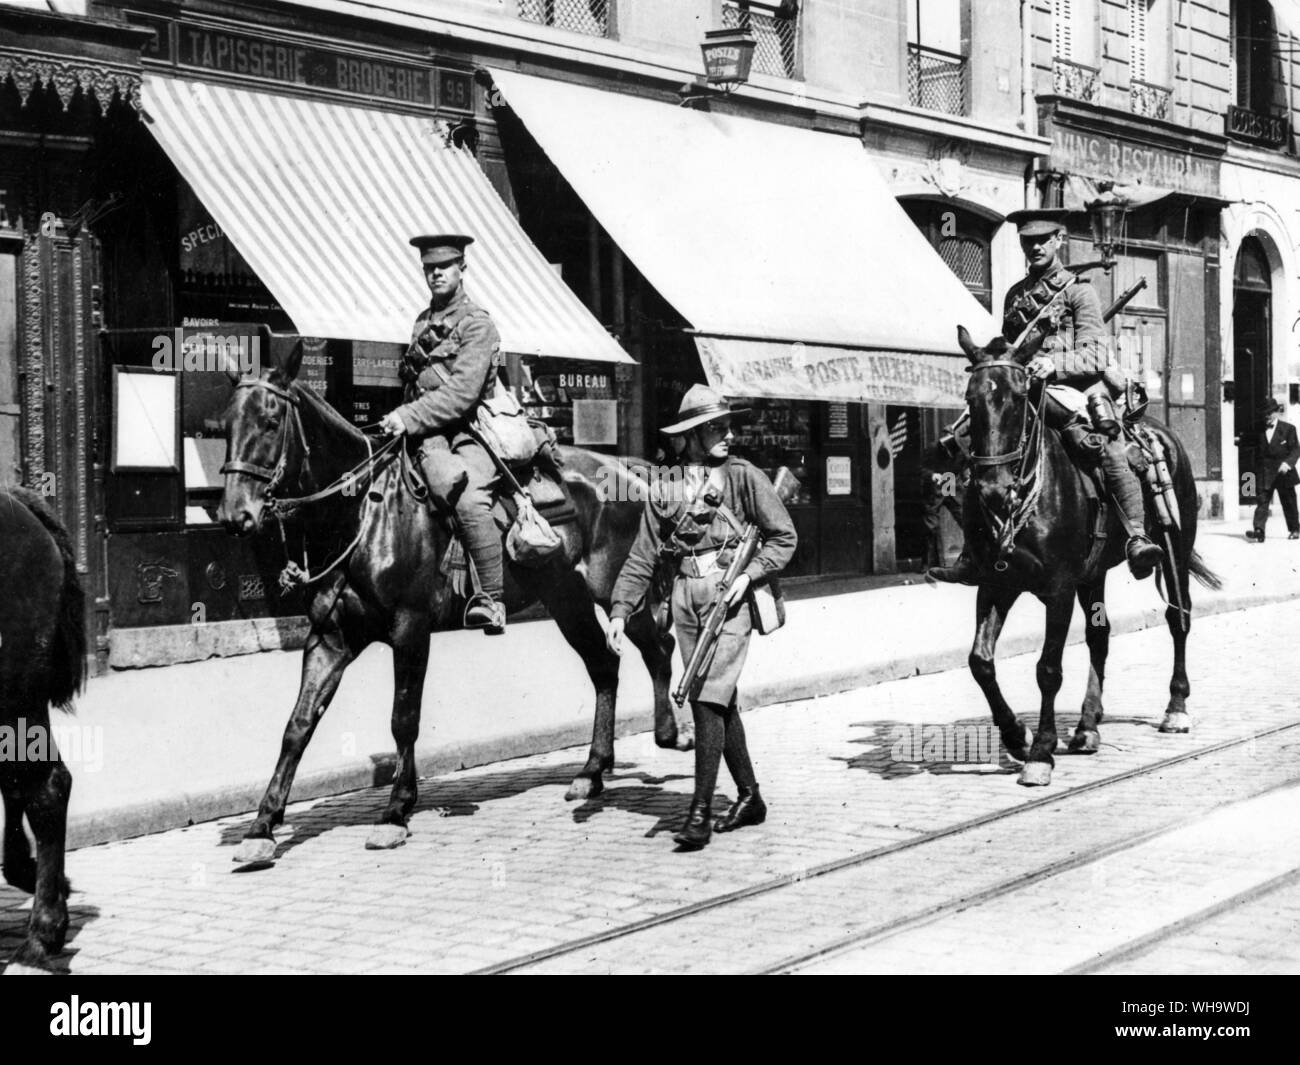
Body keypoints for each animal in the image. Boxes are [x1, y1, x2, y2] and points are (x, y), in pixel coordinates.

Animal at [217, 345, 676, 863]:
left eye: (271, 421)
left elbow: (404, 719)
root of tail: (627, 470)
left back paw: (671, 734)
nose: (235, 515)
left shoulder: (410, 629)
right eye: (226, 423)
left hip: (617, 592)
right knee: (604, 666)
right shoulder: (329, 638)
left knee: (659, 649)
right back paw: (592, 771)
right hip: (566, 599)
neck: (365, 513)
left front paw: (396, 811)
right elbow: (297, 725)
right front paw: (263, 826)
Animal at [956, 328, 1216, 785]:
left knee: (1178, 618)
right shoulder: (995, 582)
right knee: (1100, 636)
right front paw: (1016, 736)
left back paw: (1176, 708)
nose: (993, 490)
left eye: (1019, 397)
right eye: (971, 398)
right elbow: (980, 661)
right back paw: (1087, 726)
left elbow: (1048, 669)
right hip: (1092, 574)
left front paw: (1040, 752)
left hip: (1176, 550)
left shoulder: (1058, 589)